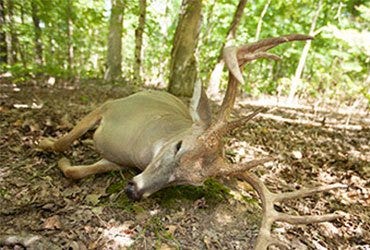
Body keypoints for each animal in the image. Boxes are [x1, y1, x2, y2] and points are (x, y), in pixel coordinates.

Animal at [39, 34, 346, 248]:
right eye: (178, 146)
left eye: (189, 182)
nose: (135, 191)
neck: (136, 145)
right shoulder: (110, 105)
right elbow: (65, 139)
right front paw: (43, 143)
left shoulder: (117, 161)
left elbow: (75, 171)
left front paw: (63, 161)